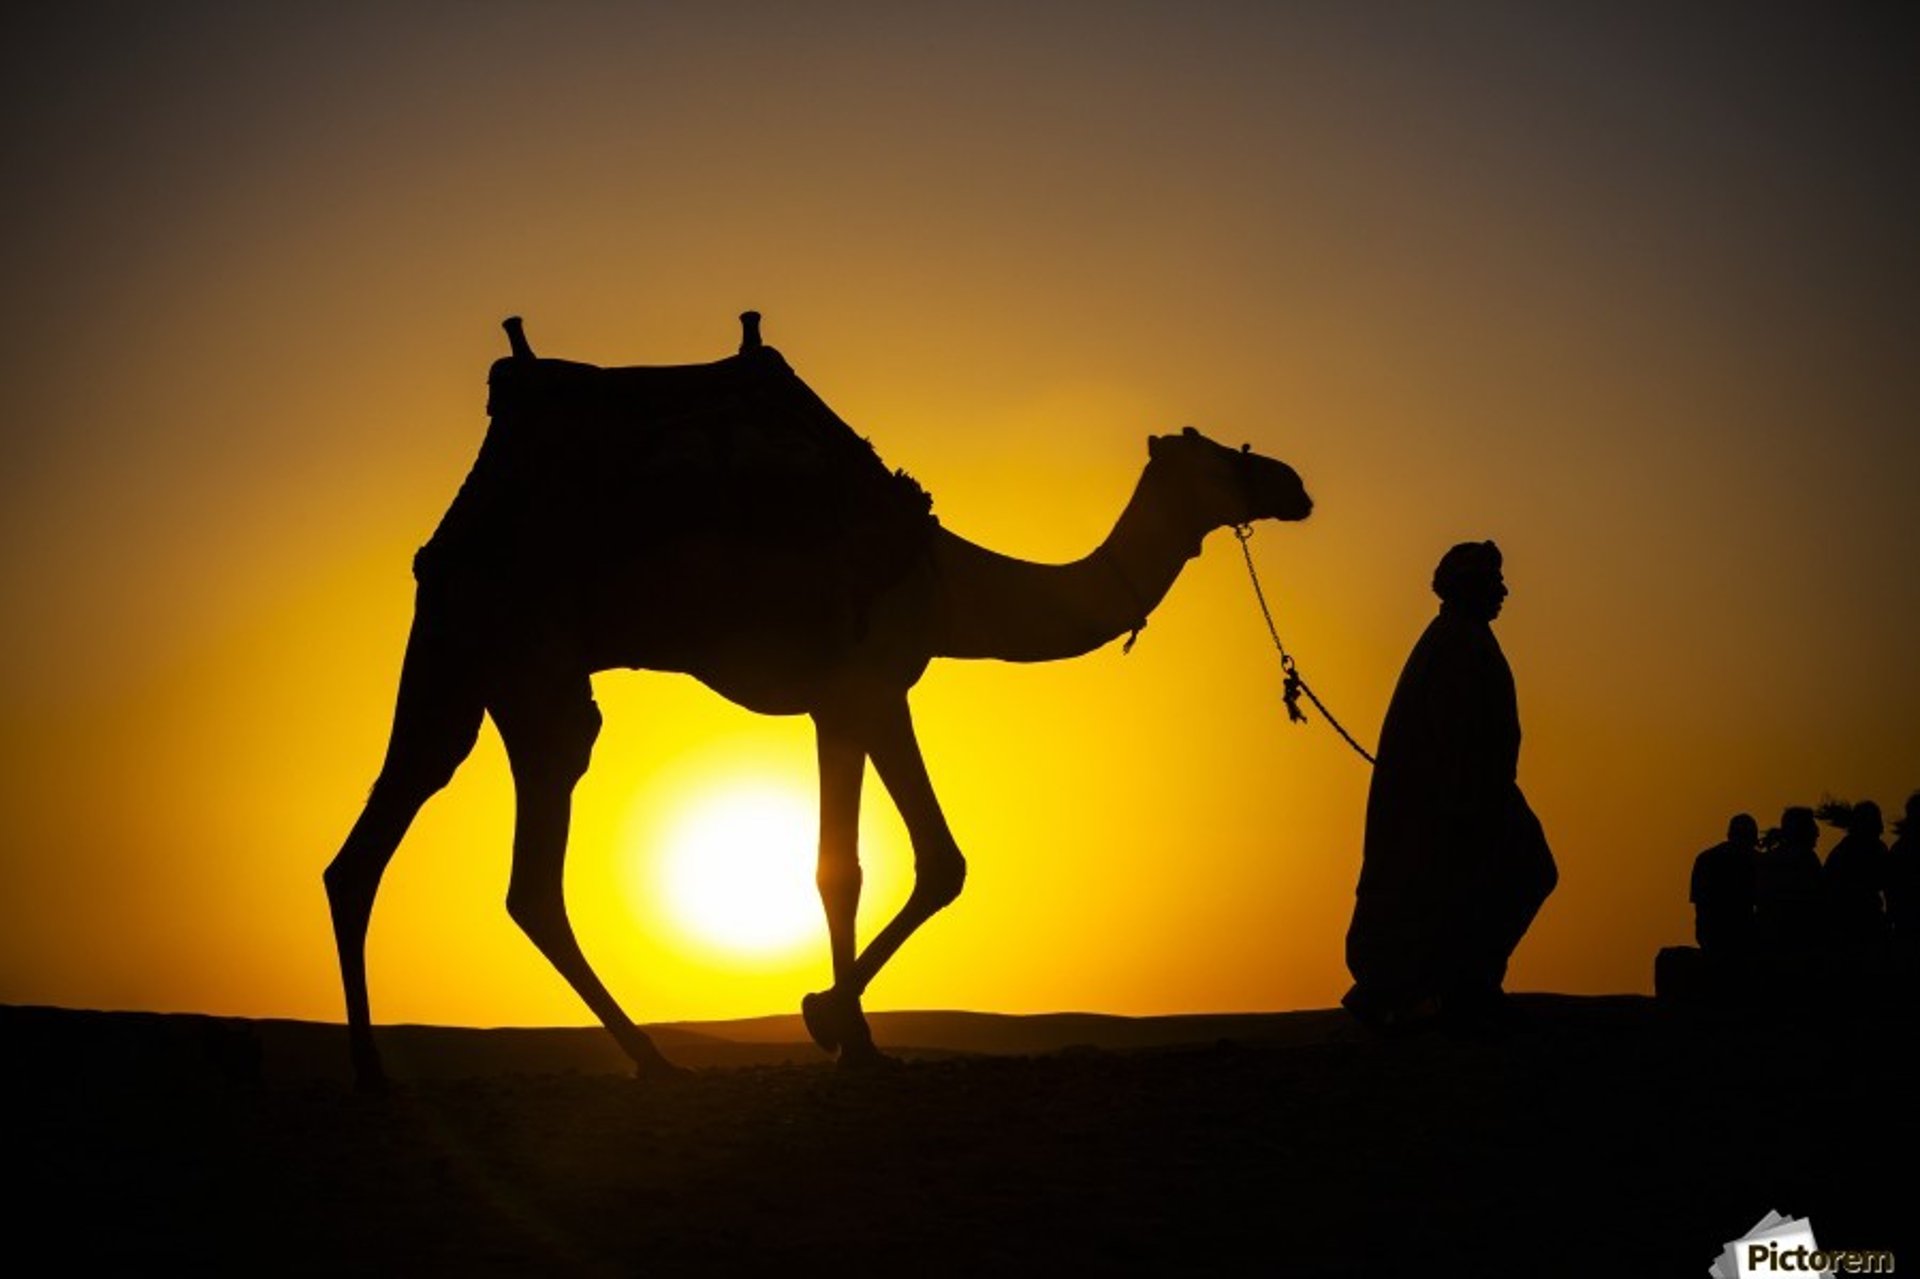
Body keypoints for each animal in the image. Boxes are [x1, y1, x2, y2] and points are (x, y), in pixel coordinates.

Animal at [330, 313, 1313, 1083]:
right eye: (1222, 457)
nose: (1294, 483)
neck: (946, 579)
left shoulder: (874, 695)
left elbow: (927, 861)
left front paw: (835, 1020)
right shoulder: (856, 690)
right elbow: (856, 866)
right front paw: (841, 1027)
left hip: (466, 658)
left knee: (395, 845)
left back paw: (384, 1067)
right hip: (522, 651)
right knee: (520, 860)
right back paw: (645, 1059)